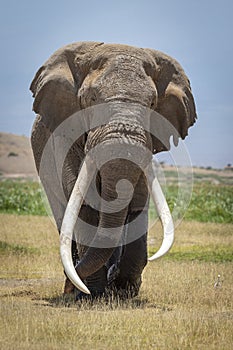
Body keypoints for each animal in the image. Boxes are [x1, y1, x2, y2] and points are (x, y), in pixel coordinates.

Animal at [29, 41, 197, 298]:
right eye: (91, 99)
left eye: (152, 104)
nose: (68, 287)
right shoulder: (65, 138)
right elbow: (86, 207)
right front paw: (91, 294)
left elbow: (137, 203)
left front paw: (124, 291)